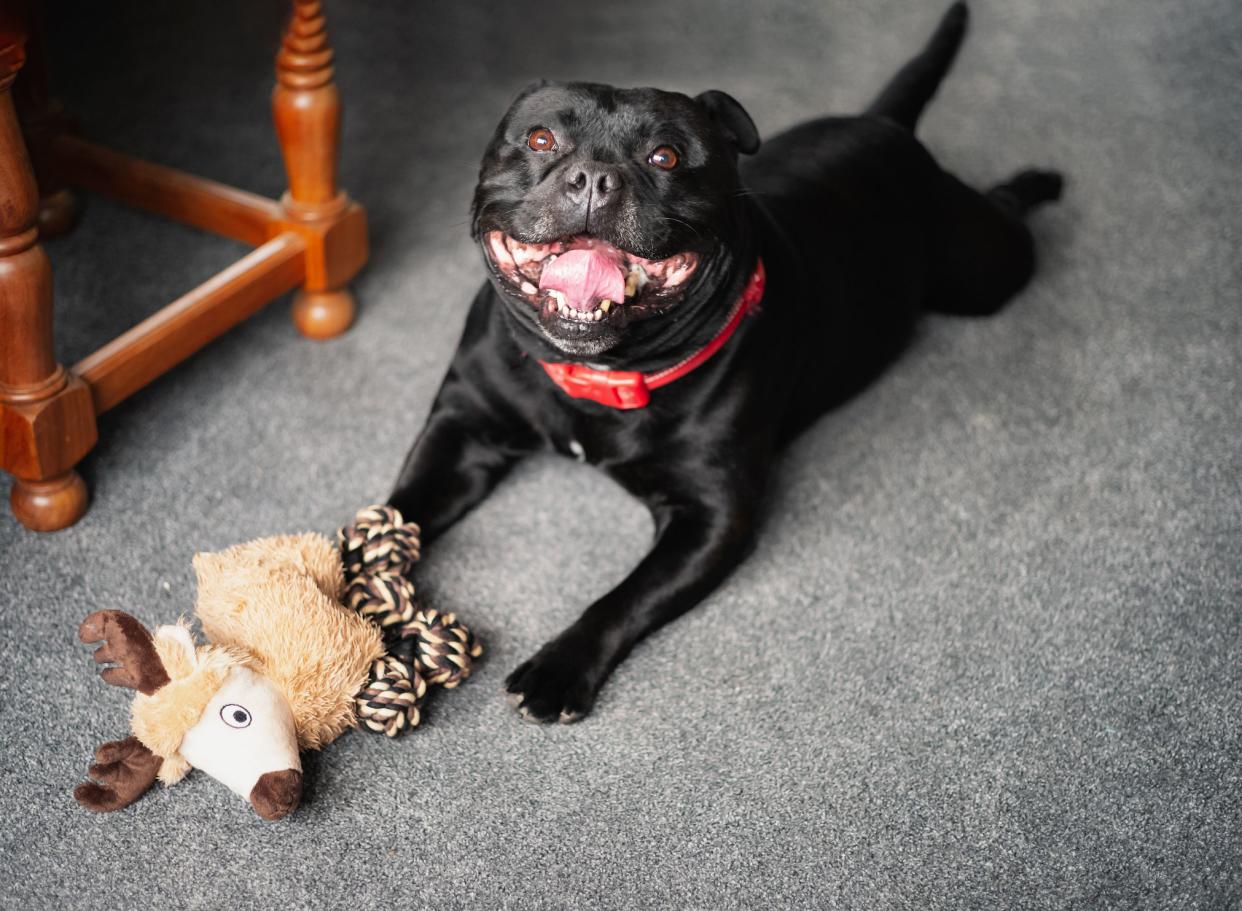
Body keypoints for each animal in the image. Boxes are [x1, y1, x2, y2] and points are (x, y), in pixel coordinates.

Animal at [387, 3, 1058, 720]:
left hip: (985, 270)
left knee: (1008, 218)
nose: (594, 177)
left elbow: (625, 596)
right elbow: (397, 514)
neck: (598, 375)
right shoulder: (462, 428)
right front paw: (351, 593)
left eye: (666, 155)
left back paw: (1037, 182)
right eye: (541, 140)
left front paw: (560, 666)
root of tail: (884, 125)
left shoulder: (713, 516)